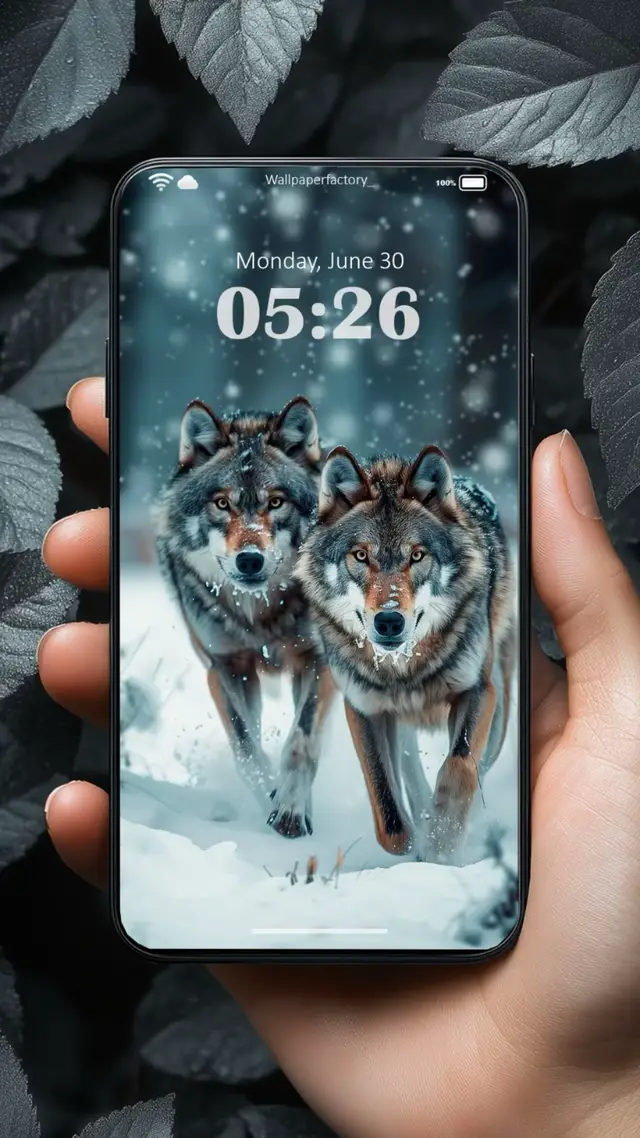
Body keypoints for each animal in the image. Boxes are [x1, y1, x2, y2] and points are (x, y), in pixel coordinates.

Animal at [154, 395, 333, 838]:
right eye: (222, 503)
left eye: (276, 502)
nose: (249, 560)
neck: (260, 615)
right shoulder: (226, 667)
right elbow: (247, 747)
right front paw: (270, 794)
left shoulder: (316, 662)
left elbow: (300, 742)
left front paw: (291, 807)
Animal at [295, 444, 515, 861]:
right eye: (360, 556)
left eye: (416, 556)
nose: (389, 621)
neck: (404, 670)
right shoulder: (363, 708)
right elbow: (389, 815)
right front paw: (416, 844)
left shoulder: (478, 692)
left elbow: (459, 767)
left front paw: (442, 843)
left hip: (499, 710)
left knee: (474, 765)